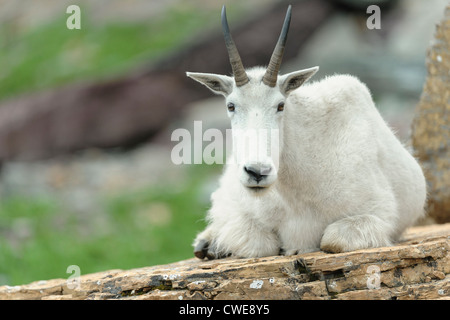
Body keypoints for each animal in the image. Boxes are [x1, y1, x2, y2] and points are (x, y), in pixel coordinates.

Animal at [185, 6, 426, 258]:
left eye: (281, 105)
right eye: (230, 106)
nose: (257, 172)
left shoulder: (378, 215)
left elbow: (332, 240)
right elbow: (262, 243)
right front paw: (214, 245)